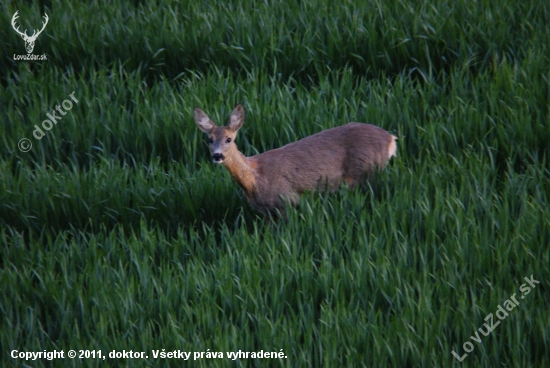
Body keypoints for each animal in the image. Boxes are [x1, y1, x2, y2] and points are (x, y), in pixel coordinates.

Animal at [194, 104, 396, 216]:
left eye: (229, 139)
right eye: (209, 139)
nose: (217, 155)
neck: (254, 179)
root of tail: (391, 139)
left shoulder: (286, 200)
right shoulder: (265, 210)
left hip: (365, 172)